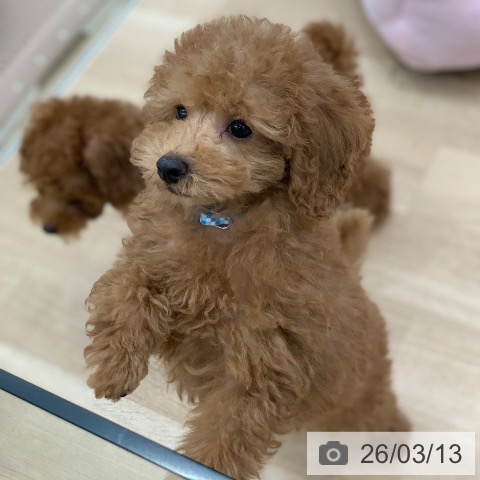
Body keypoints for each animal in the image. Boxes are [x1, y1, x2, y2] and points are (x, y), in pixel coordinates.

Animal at [84, 17, 408, 479]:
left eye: (240, 128)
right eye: (180, 111)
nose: (168, 166)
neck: (223, 218)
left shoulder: (264, 363)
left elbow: (228, 430)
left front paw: (203, 466)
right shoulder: (152, 259)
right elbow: (126, 285)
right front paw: (114, 367)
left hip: (356, 399)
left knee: (373, 414)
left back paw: (396, 431)